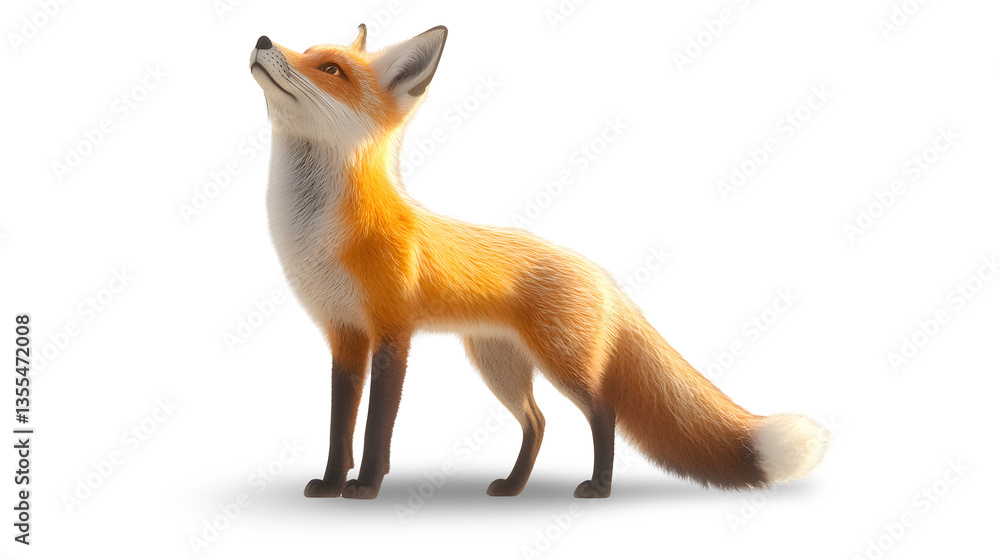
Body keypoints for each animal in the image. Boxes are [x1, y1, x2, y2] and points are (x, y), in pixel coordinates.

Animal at [249, 24, 828, 499]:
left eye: (331, 69)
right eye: (306, 51)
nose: (262, 40)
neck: (321, 235)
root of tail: (600, 274)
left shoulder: (393, 333)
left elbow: (374, 428)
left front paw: (366, 487)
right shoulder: (344, 335)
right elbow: (339, 427)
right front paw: (330, 483)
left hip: (562, 362)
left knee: (602, 411)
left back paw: (598, 487)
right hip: (498, 364)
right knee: (538, 422)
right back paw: (513, 486)